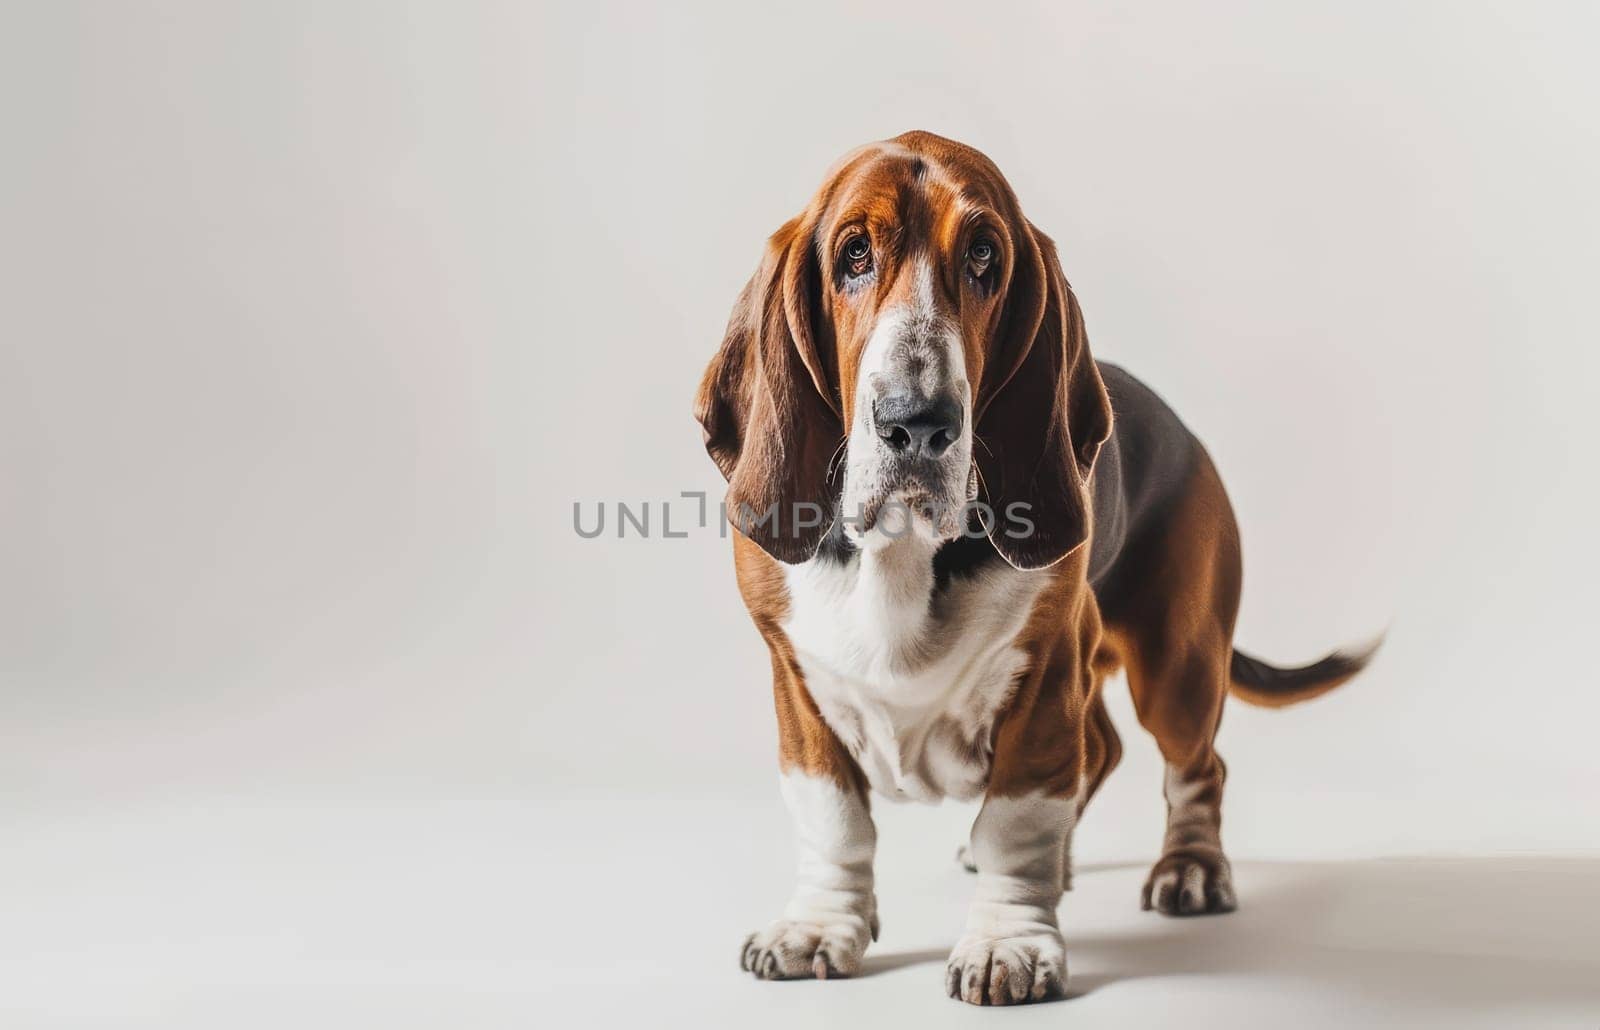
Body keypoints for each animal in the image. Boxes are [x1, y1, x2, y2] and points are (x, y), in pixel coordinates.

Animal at [694, 131, 1382, 1004]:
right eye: (853, 254)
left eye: (984, 255)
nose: (918, 422)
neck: (903, 553)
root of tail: (1184, 430)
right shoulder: (798, 684)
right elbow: (833, 818)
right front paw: (819, 926)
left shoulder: (1048, 669)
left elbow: (1017, 819)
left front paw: (1007, 944)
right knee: (1109, 749)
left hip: (1180, 665)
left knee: (1196, 764)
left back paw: (1190, 870)